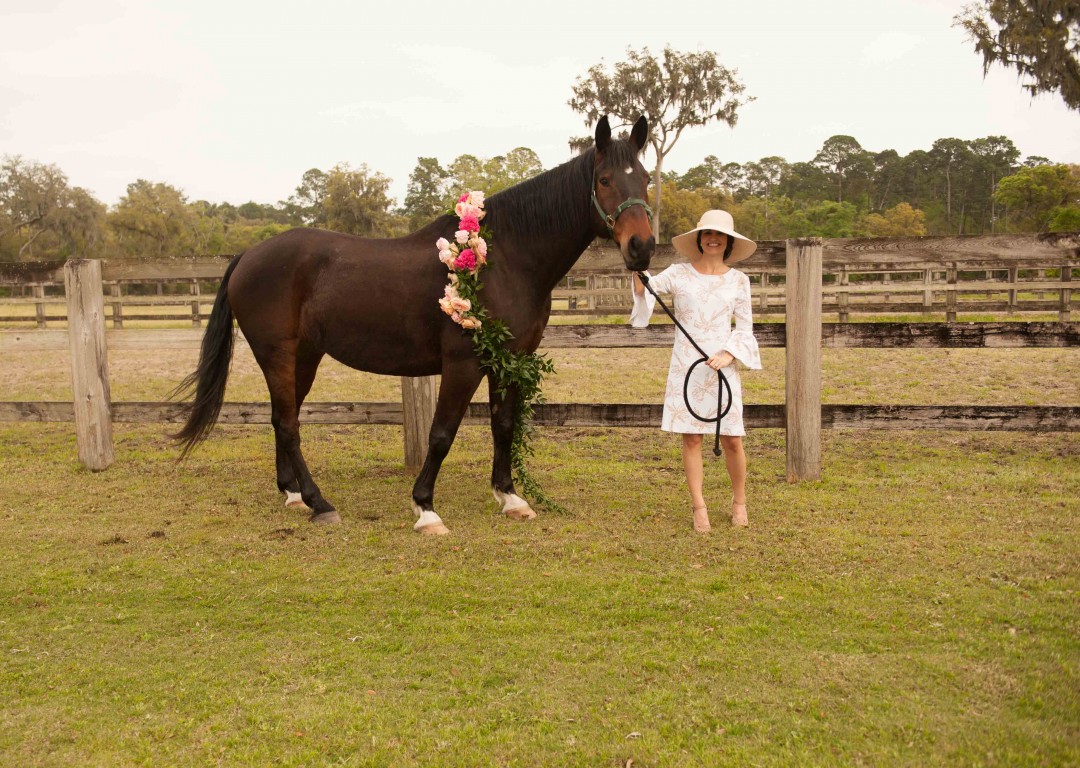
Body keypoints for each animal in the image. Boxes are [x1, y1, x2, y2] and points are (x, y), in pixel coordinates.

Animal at [172, 115, 652, 535]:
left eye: (646, 179)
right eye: (605, 180)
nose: (642, 247)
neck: (507, 260)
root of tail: (248, 255)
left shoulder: (509, 360)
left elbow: (503, 425)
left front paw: (510, 498)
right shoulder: (463, 364)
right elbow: (441, 434)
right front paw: (425, 509)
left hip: (304, 357)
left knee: (280, 417)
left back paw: (292, 494)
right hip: (277, 354)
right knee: (288, 423)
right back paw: (319, 503)